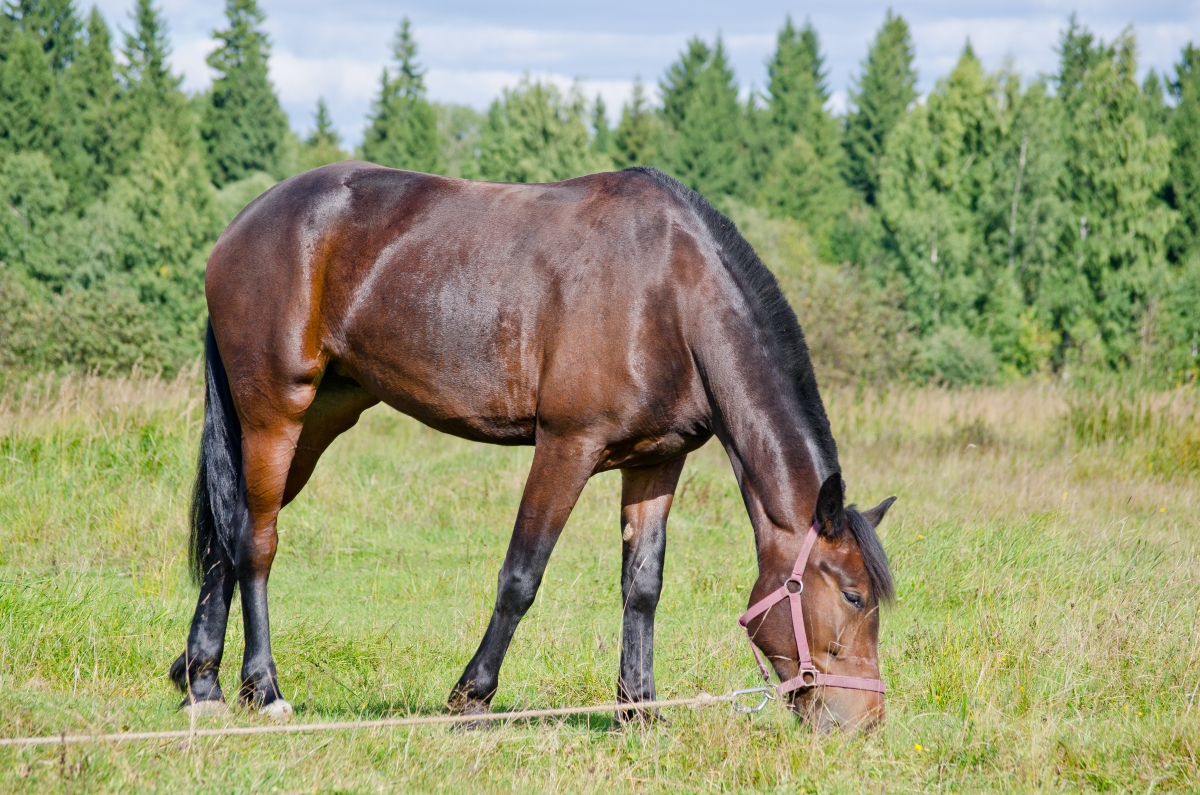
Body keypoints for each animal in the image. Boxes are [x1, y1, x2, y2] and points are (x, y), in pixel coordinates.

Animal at [174, 163, 897, 734]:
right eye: (853, 597)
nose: (864, 720)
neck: (671, 295)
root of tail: (245, 223)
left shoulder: (656, 461)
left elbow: (643, 586)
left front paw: (639, 709)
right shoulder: (567, 445)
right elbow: (521, 575)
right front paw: (471, 696)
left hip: (320, 416)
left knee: (230, 530)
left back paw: (202, 681)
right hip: (275, 409)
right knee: (256, 540)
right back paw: (263, 687)